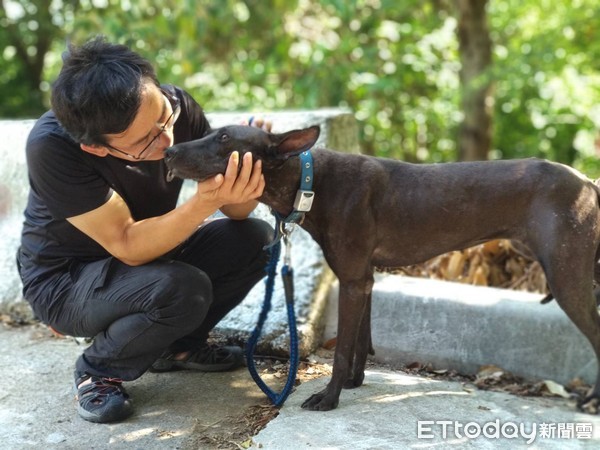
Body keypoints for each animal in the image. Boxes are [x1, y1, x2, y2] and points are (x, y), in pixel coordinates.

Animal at [163, 125, 600, 414]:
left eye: (224, 139)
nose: (168, 153)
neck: (309, 181)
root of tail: (587, 182)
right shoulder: (364, 279)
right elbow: (359, 341)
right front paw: (354, 383)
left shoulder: (353, 281)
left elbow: (342, 350)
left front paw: (330, 398)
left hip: (569, 278)